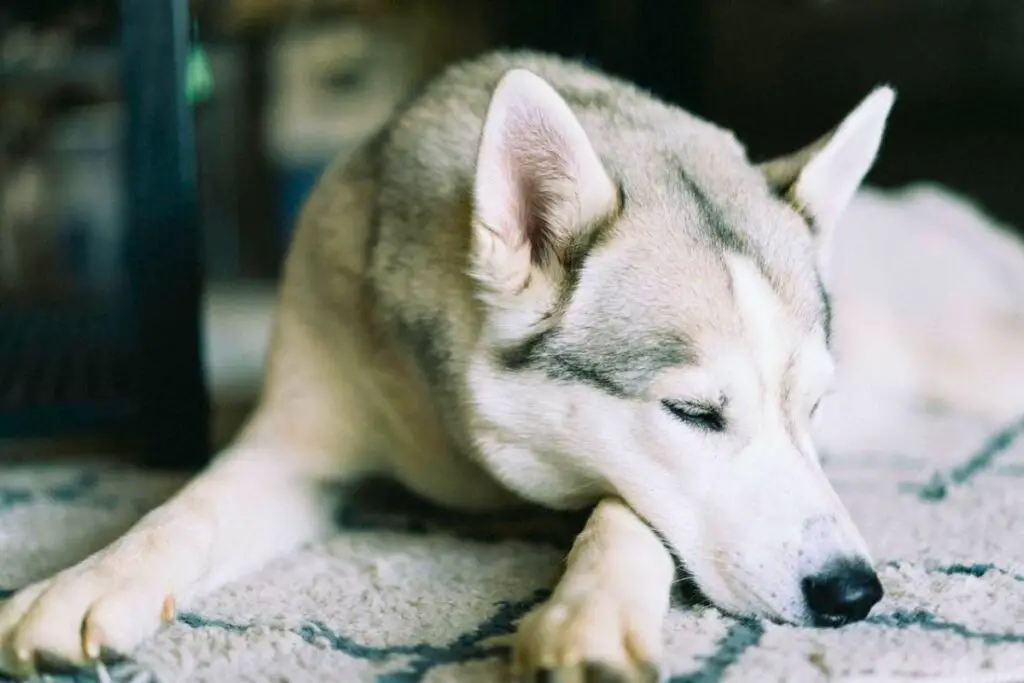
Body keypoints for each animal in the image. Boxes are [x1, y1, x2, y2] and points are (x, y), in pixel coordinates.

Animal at [0, 50, 897, 679]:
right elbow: (185, 511)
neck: (459, 442)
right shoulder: (296, 447)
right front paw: (86, 582)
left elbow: (625, 512)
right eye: (695, 413)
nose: (855, 591)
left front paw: (592, 612)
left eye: (812, 407)